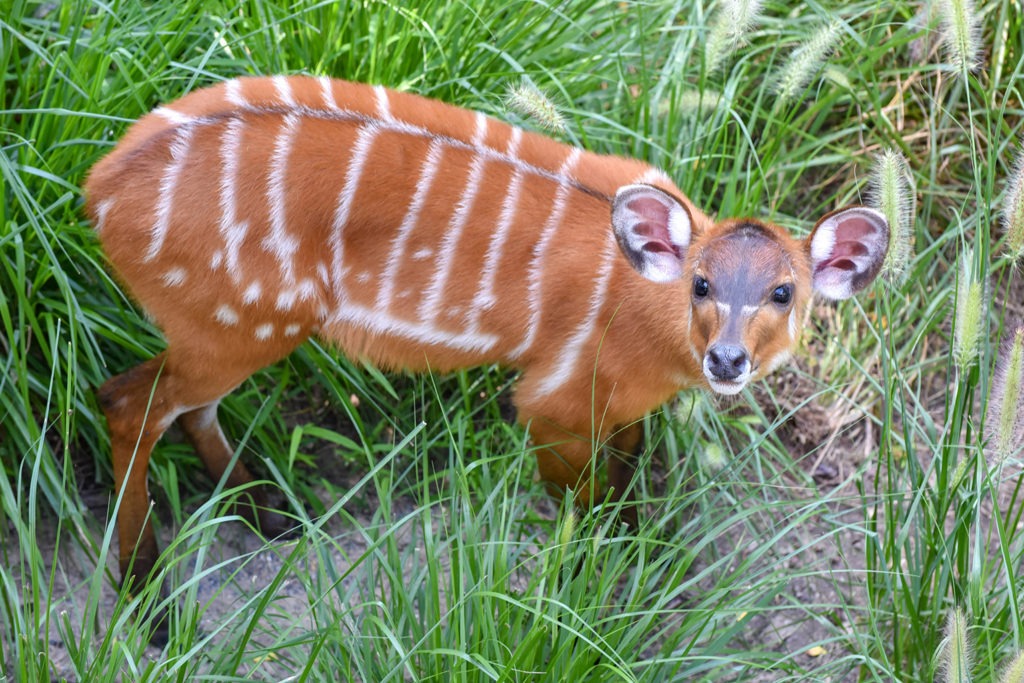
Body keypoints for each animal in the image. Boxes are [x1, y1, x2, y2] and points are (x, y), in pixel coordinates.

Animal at [86, 76, 888, 602]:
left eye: (783, 291)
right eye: (700, 282)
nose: (727, 359)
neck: (642, 312)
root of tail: (99, 190)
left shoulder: (621, 411)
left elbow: (627, 483)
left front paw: (643, 562)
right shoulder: (552, 401)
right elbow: (583, 506)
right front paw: (592, 590)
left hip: (235, 329)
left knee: (181, 404)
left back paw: (272, 516)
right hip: (241, 324)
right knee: (126, 401)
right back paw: (147, 596)